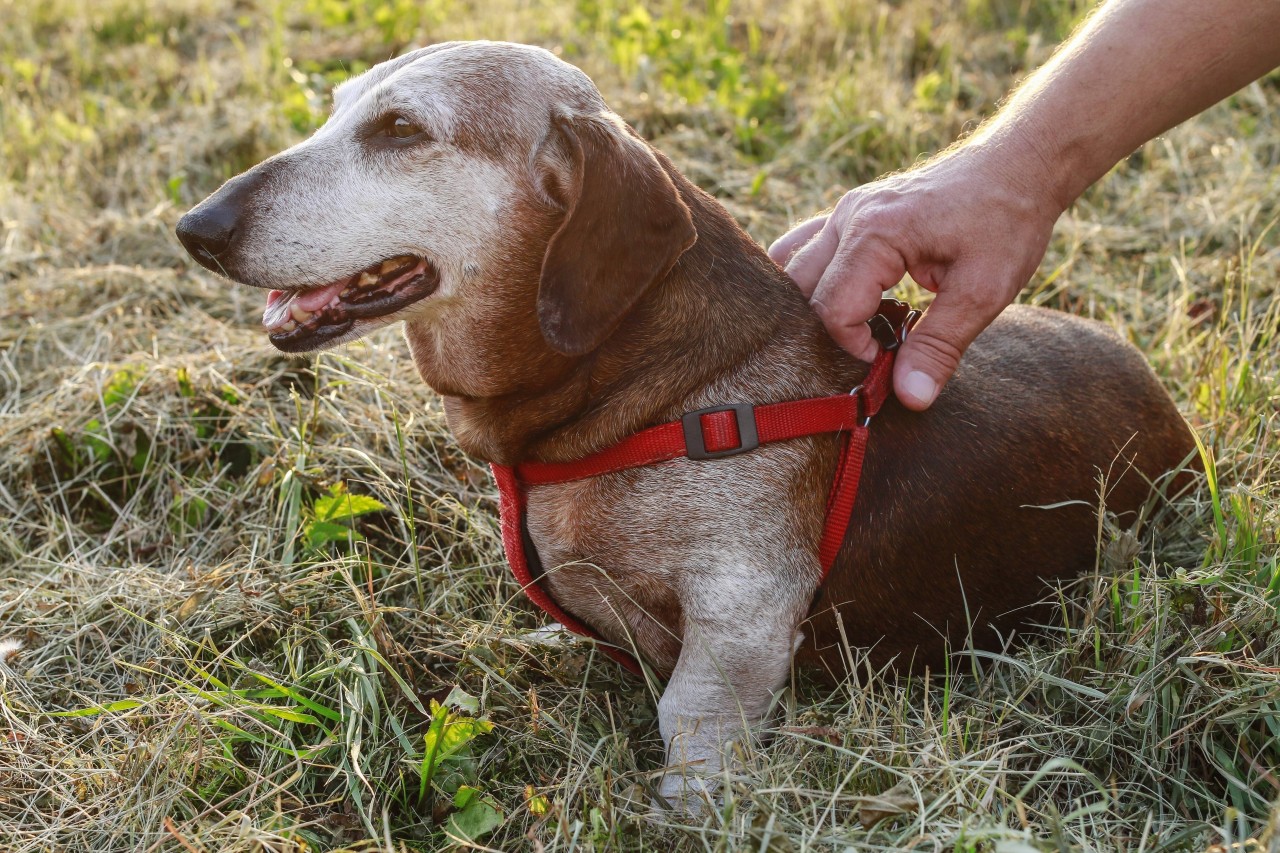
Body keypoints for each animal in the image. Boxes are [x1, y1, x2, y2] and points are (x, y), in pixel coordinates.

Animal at [175, 39, 1192, 809]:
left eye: (400, 130)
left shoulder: (743, 614)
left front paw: (684, 807)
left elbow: (689, 716)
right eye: (337, 107)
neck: (659, 394)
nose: (195, 226)